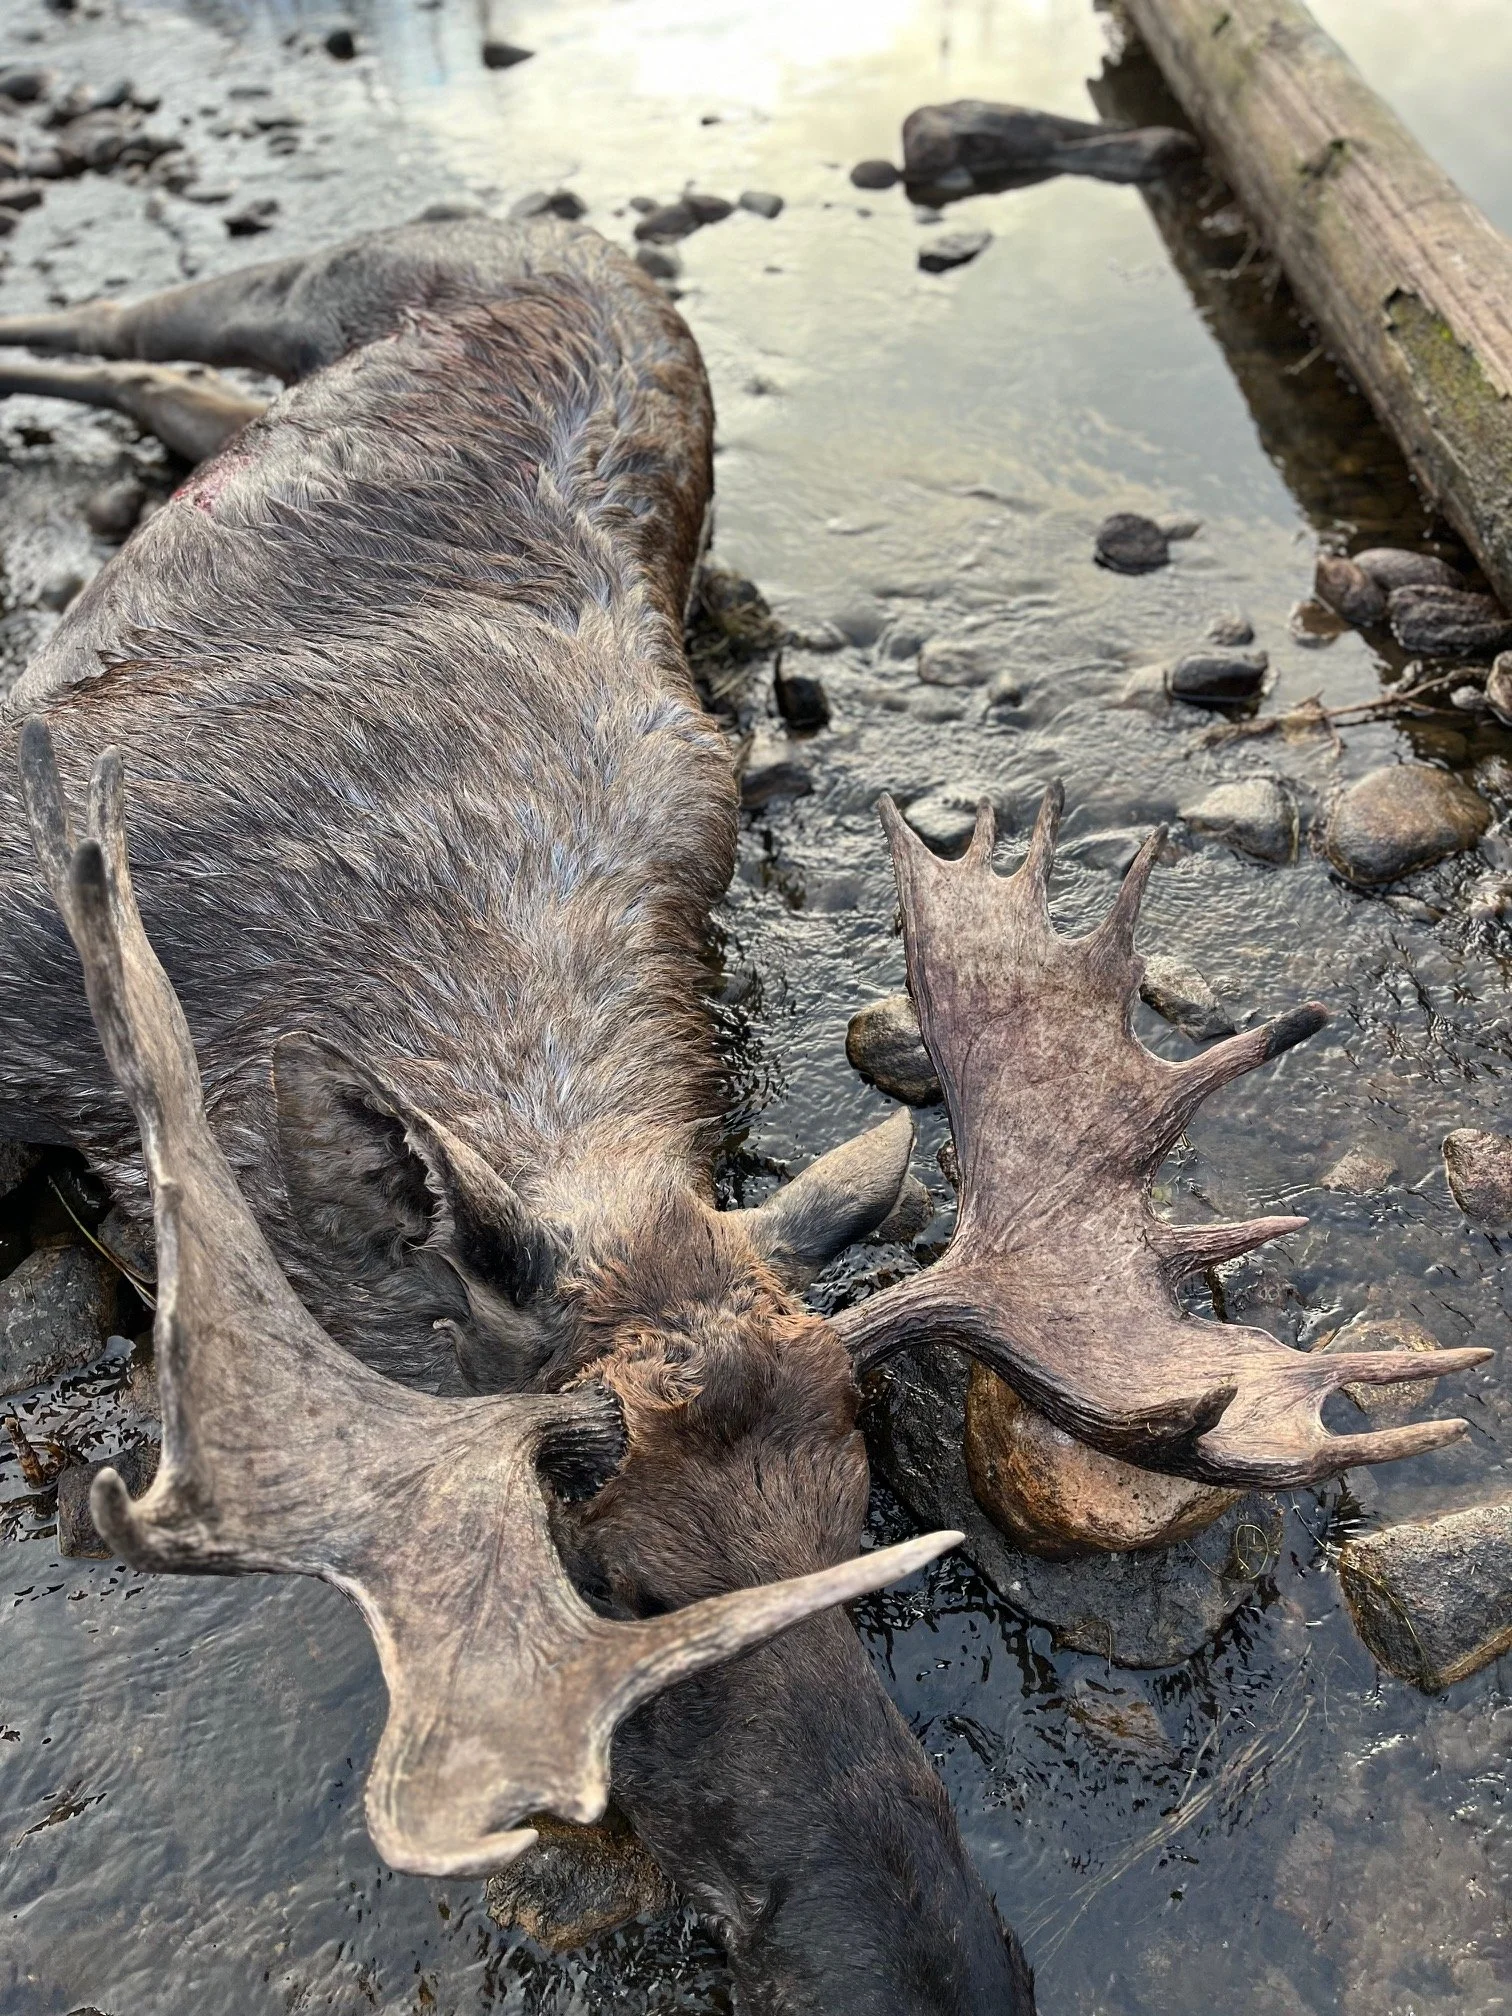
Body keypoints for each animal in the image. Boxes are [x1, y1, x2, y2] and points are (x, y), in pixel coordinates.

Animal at [0, 217, 1488, 2014]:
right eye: (610, 1576)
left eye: (857, 1526)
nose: (942, 1972)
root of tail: (576, 238)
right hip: (328, 278)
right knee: (112, 326)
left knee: (176, 396)